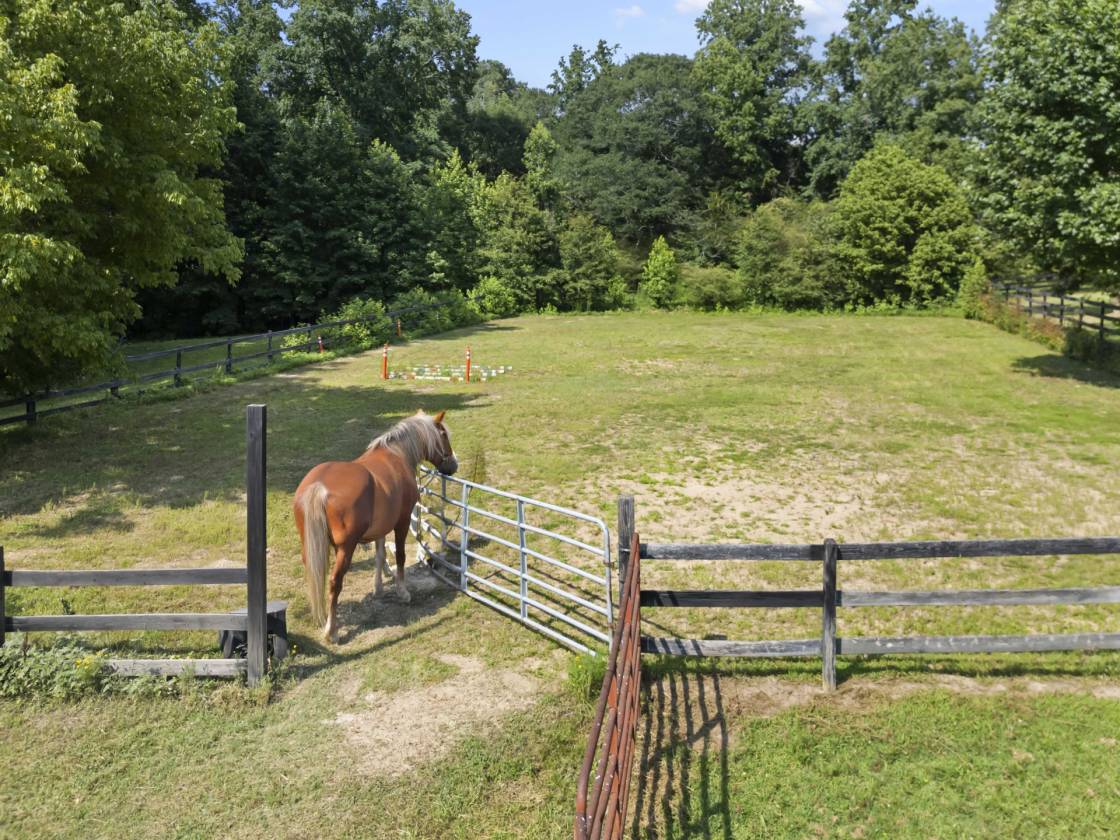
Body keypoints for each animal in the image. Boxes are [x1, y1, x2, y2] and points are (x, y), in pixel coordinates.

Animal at [293, 410, 458, 642]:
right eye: (443, 435)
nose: (453, 465)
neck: (397, 455)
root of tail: (319, 487)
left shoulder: (381, 527)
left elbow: (380, 556)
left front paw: (378, 588)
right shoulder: (401, 522)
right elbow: (400, 557)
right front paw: (402, 592)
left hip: (312, 546)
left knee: (317, 576)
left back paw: (324, 617)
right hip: (346, 548)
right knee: (335, 581)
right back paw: (331, 631)